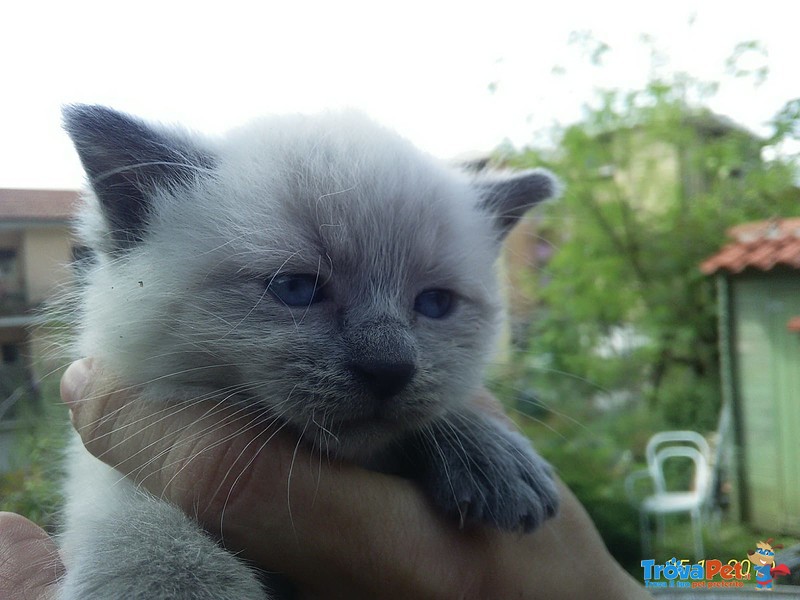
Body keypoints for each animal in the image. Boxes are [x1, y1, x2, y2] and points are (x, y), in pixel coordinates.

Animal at [59, 105, 560, 596]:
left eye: (436, 303)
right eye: (296, 288)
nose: (391, 369)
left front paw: (491, 451)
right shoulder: (112, 476)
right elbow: (147, 527)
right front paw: (172, 581)